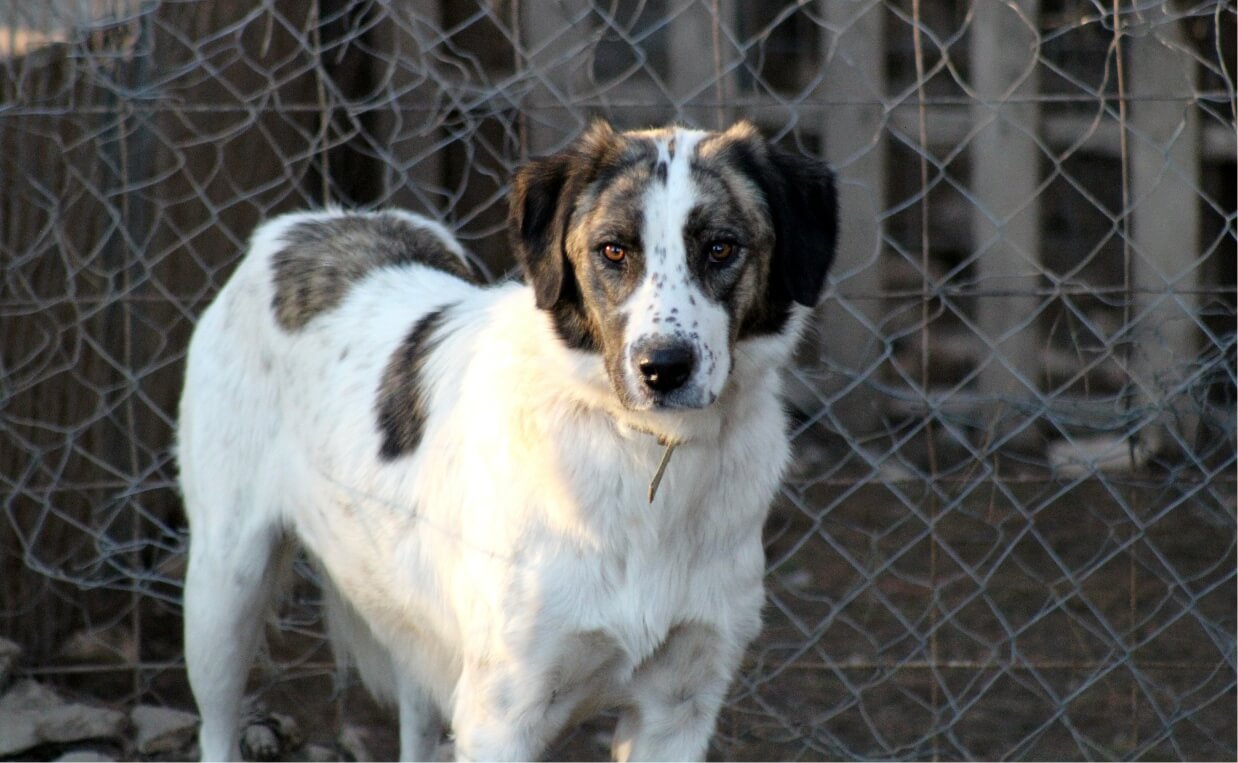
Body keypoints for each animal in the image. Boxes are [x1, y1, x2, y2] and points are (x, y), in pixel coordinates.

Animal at [179, 122, 836, 758]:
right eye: (613, 249)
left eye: (721, 247)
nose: (663, 368)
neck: (643, 452)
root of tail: (304, 223)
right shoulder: (501, 717)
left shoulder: (679, 710)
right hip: (223, 591)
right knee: (216, 731)